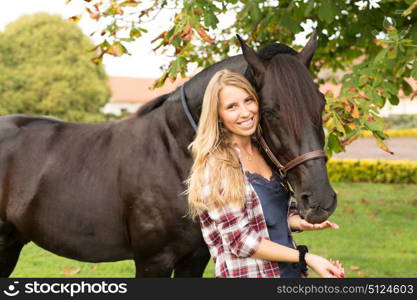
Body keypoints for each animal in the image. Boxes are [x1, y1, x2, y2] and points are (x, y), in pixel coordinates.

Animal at [0, 31, 336, 278]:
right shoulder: (154, 261)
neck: (175, 155)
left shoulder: (194, 259)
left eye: (320, 103)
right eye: (268, 111)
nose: (320, 200)